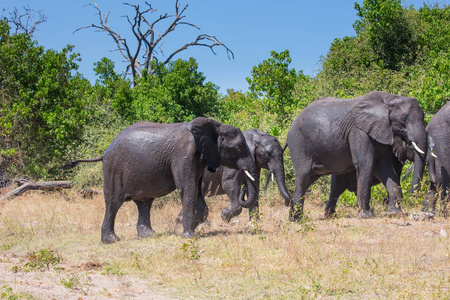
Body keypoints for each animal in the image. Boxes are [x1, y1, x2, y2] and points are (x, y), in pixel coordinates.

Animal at [65, 117, 258, 244]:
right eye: (238, 148)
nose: (243, 190)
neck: (215, 126)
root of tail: (105, 152)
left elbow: (196, 190)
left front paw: (194, 226)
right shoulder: (183, 155)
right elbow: (187, 189)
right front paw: (189, 235)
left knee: (144, 203)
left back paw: (149, 235)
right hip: (113, 168)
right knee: (113, 203)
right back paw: (112, 240)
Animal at [286, 90, 428, 219]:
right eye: (404, 118)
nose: (411, 192)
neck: (389, 98)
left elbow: (384, 167)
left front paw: (395, 213)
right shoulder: (359, 131)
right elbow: (365, 163)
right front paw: (365, 215)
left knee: (315, 181)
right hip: (298, 143)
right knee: (304, 176)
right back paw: (296, 220)